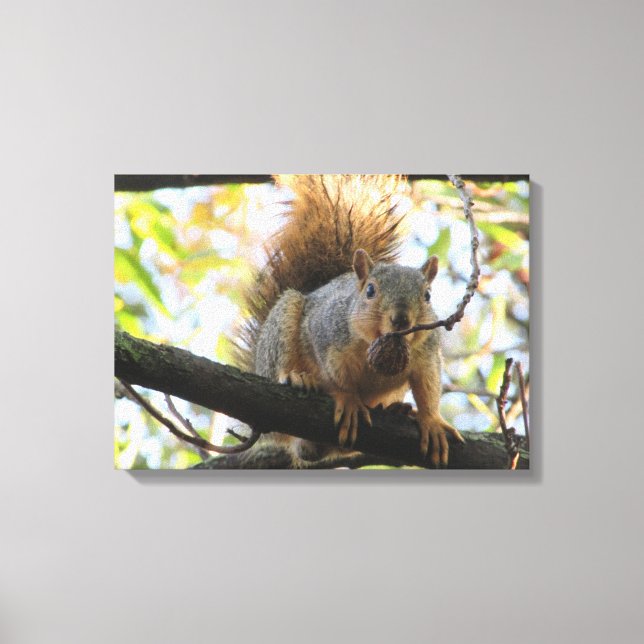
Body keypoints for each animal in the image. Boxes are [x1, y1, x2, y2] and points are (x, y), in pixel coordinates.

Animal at [234, 174, 464, 467]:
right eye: (370, 291)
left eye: (427, 295)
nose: (401, 319)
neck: (376, 342)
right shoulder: (326, 335)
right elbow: (336, 377)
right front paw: (348, 399)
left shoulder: (426, 354)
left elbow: (429, 385)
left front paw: (432, 421)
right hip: (282, 327)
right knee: (281, 367)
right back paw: (297, 378)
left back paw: (397, 409)